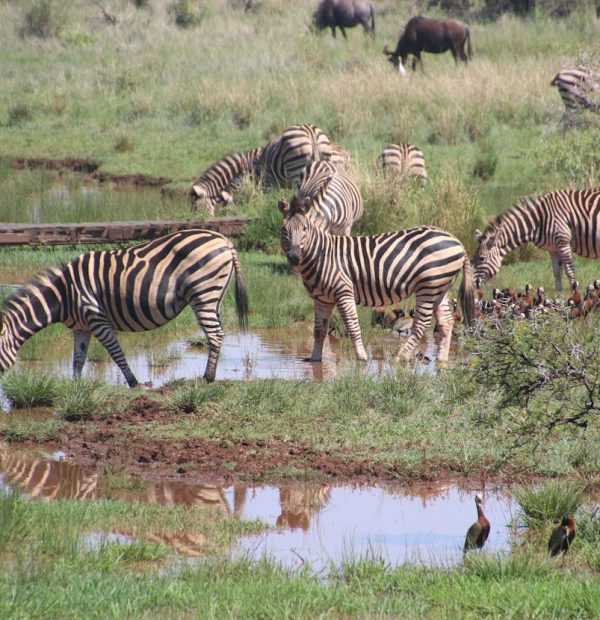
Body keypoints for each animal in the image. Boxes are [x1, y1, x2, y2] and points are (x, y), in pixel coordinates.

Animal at [0, 231, 248, 388]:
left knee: (215, 334)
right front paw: (75, 387)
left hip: (203, 292)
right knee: (218, 332)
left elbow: (115, 352)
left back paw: (207, 378)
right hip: (214, 296)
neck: (64, 295)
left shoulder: (96, 317)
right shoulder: (81, 327)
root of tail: (224, 240)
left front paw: (133, 383)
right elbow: (78, 358)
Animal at [278, 199, 476, 364]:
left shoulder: (344, 291)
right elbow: (318, 331)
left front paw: (362, 357)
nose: (294, 257)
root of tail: (457, 241)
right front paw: (315, 360)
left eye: (304, 228)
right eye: (284, 230)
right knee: (446, 322)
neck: (322, 255)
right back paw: (442, 360)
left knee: (422, 324)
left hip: (428, 285)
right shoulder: (322, 299)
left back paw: (400, 357)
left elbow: (352, 325)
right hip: (440, 287)